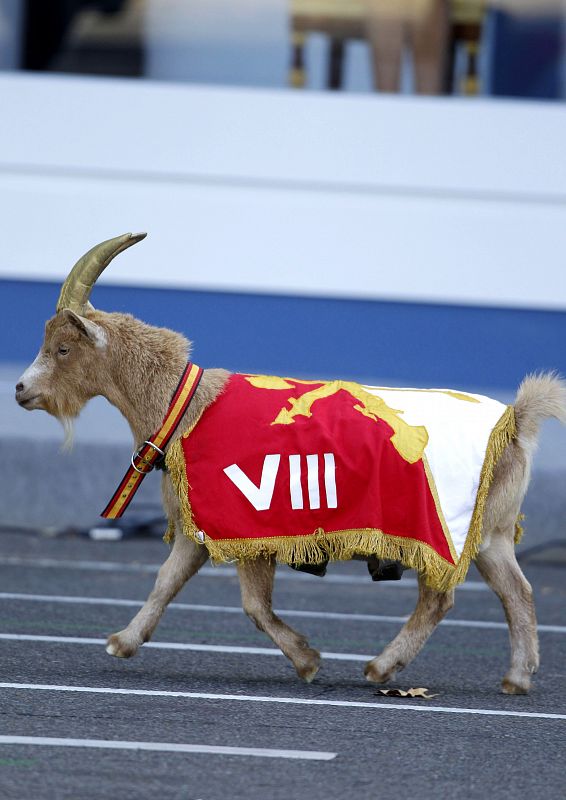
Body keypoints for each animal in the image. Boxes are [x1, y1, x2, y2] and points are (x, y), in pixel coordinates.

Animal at [14, 233, 566, 692]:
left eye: (62, 348)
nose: (21, 390)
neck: (182, 404)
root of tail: (514, 422)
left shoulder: (250, 528)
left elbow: (253, 605)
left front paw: (307, 661)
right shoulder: (203, 524)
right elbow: (167, 580)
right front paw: (123, 642)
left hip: (440, 529)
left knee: (440, 598)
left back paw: (381, 667)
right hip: (491, 531)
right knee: (518, 592)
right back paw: (517, 678)